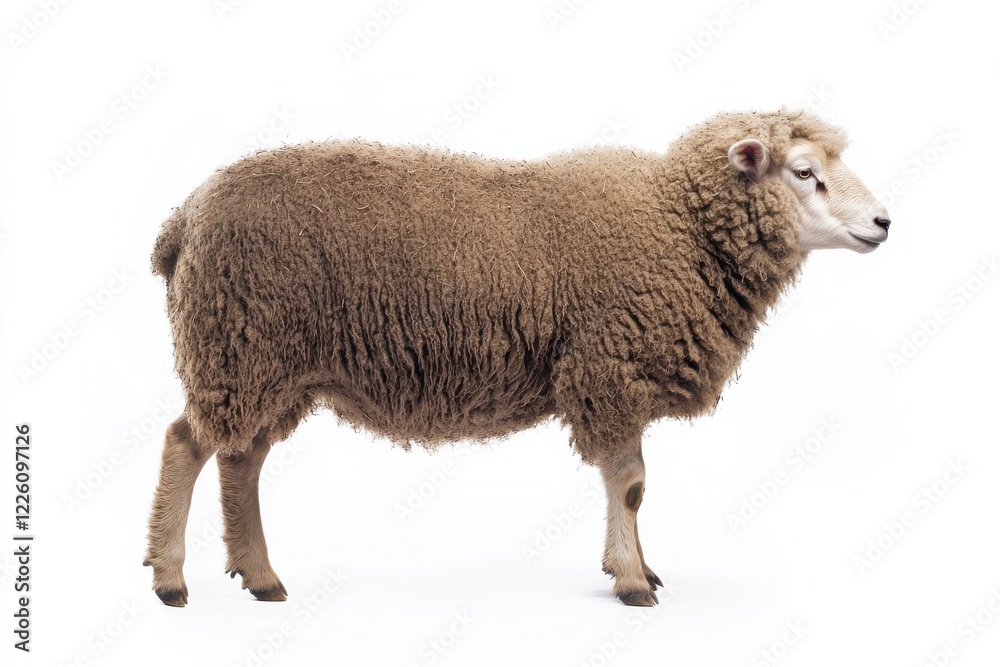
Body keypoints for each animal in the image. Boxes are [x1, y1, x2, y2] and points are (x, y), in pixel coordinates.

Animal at [144, 109, 890, 607]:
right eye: (804, 173)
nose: (884, 222)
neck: (676, 225)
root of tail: (185, 217)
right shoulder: (607, 367)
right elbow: (630, 484)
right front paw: (631, 581)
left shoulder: (617, 374)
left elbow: (634, 487)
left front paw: (638, 567)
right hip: (238, 344)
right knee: (187, 444)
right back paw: (171, 577)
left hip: (268, 364)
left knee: (241, 460)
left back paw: (260, 576)